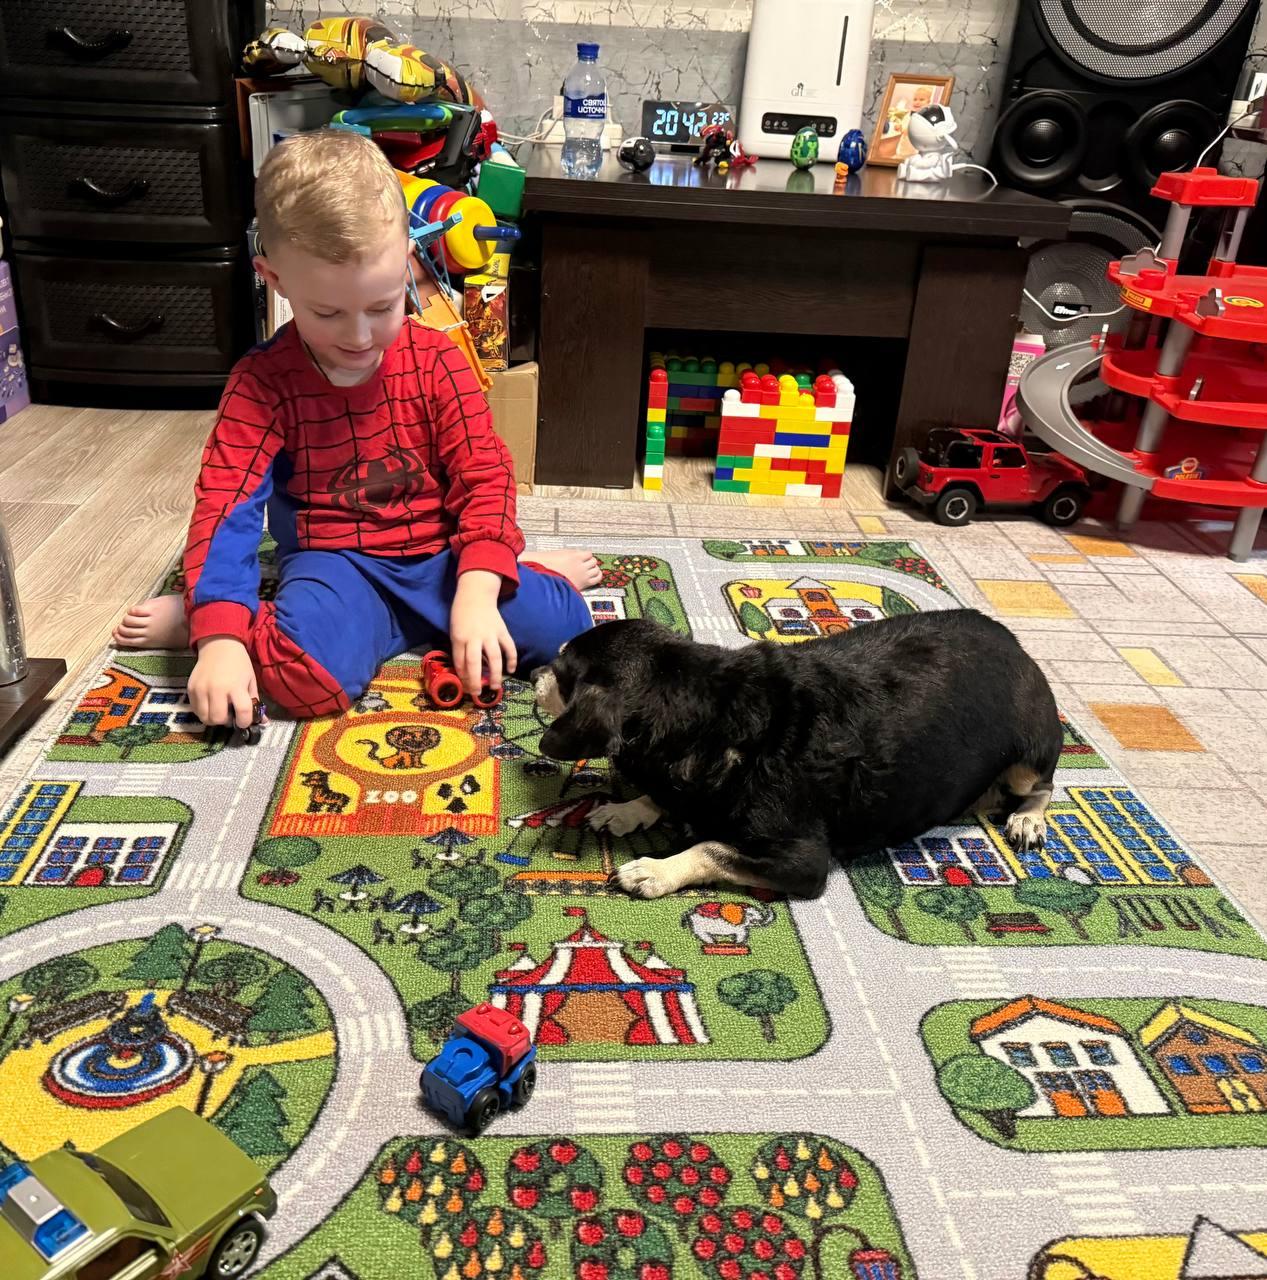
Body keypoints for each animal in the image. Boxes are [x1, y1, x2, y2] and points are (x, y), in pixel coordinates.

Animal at [533, 612, 1062, 900]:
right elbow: (665, 798)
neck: (713, 715)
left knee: (1042, 784)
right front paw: (628, 809)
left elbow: (711, 847)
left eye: (561, 671)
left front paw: (655, 870)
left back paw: (1028, 820)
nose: (531, 674)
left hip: (1030, 746)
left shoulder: (804, 861)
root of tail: (1016, 642)